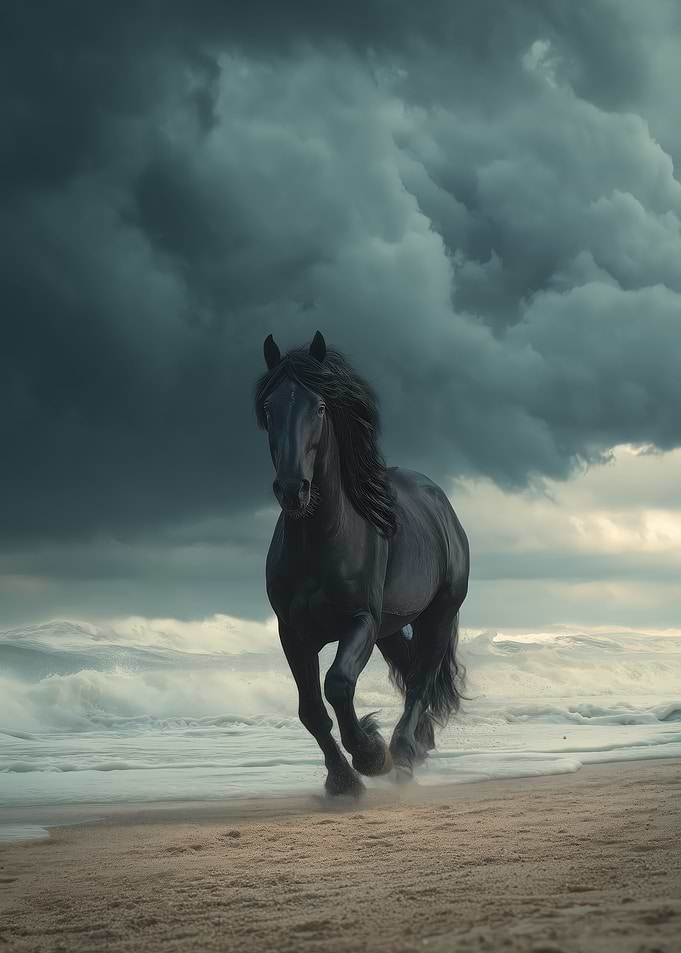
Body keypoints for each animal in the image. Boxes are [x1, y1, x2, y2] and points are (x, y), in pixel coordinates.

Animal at [255, 331, 470, 797]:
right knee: (410, 672)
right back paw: (418, 746)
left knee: (420, 683)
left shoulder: (360, 622)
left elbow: (337, 685)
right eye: (269, 408)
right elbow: (310, 710)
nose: (292, 489)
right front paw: (341, 780)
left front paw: (370, 755)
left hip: (438, 615)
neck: (321, 542)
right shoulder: (293, 633)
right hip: (390, 628)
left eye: (320, 407)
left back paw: (402, 755)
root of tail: (441, 504)